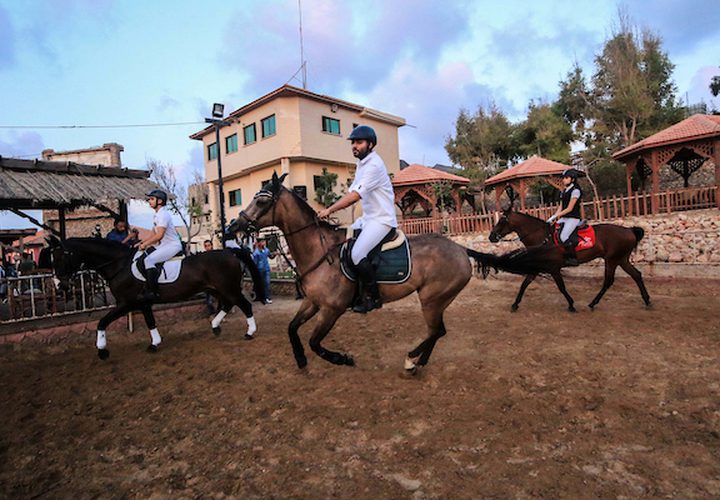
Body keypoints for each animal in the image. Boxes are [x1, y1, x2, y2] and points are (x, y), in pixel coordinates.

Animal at [46, 236, 262, 358]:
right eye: (51, 259)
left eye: (61, 257)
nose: (59, 285)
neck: (120, 265)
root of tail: (229, 252)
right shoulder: (143, 304)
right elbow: (150, 322)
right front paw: (155, 343)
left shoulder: (126, 303)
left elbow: (102, 322)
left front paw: (102, 350)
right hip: (217, 289)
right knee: (228, 304)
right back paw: (215, 326)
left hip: (228, 288)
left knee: (245, 305)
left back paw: (250, 333)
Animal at [228, 174, 548, 374]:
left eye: (261, 201)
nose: (233, 226)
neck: (319, 251)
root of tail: (459, 248)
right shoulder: (313, 303)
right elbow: (292, 329)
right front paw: (300, 360)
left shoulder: (332, 309)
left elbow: (315, 342)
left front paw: (342, 358)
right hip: (436, 300)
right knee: (438, 331)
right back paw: (418, 361)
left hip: (431, 299)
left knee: (436, 330)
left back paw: (411, 360)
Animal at [486, 205, 648, 310]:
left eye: (502, 221)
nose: (491, 237)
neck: (542, 237)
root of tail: (629, 230)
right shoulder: (538, 266)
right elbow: (525, 284)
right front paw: (515, 304)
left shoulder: (553, 268)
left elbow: (561, 287)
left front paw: (571, 304)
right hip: (621, 259)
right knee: (636, 275)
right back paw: (647, 300)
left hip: (612, 260)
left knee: (609, 281)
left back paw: (593, 303)